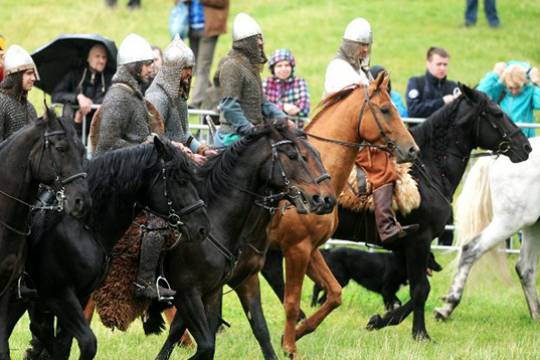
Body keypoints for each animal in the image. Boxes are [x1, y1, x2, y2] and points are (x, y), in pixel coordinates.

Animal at [10, 138, 211, 360]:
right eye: (180, 180)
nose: (203, 227)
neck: (82, 225)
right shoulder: (58, 296)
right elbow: (85, 342)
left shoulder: (79, 296)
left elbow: (63, 344)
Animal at [310, 249, 440, 310]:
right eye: (430, 258)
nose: (440, 267)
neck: (401, 263)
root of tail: (329, 251)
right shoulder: (386, 290)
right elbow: (391, 304)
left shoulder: (390, 291)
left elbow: (397, 302)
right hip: (340, 278)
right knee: (317, 288)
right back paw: (313, 305)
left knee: (324, 294)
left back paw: (319, 305)